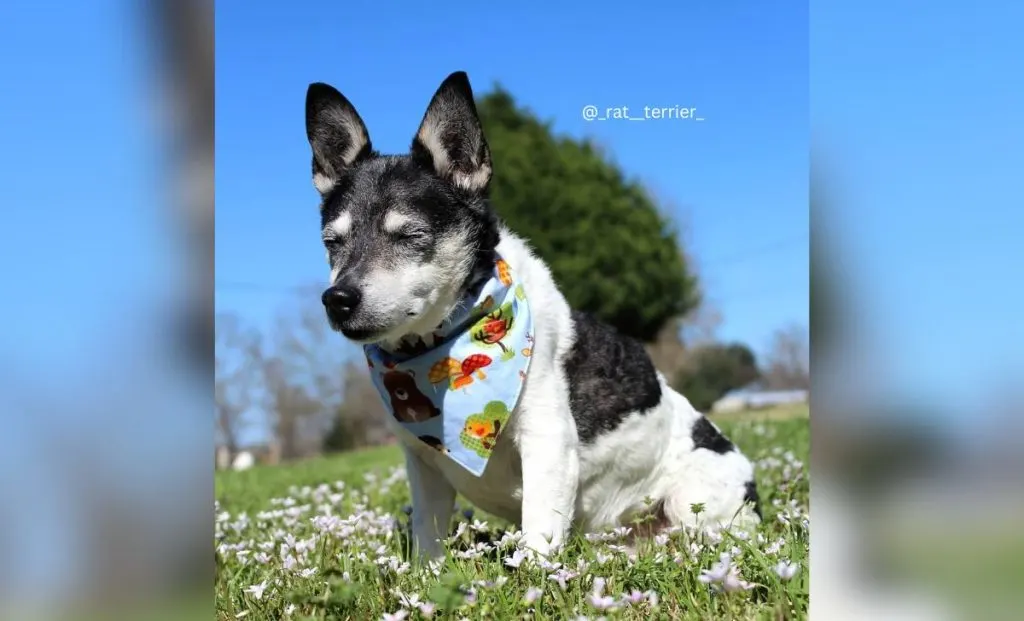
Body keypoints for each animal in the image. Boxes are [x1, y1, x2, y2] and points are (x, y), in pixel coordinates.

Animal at [301, 70, 761, 557]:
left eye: (410, 235)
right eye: (332, 243)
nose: (337, 299)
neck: (447, 346)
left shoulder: (548, 441)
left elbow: (539, 535)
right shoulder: (424, 466)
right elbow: (428, 537)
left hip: (694, 501)